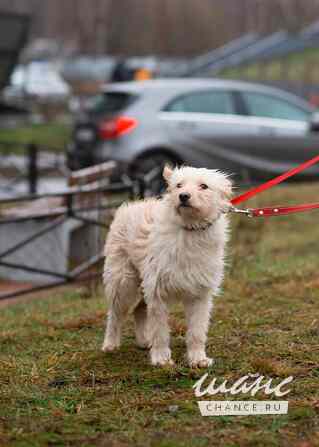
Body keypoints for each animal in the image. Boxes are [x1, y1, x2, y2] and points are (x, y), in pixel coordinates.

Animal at [102, 165, 232, 368]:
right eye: (178, 185)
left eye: (204, 186)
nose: (183, 196)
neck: (190, 230)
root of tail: (132, 205)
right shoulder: (157, 292)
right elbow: (160, 330)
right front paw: (161, 358)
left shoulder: (200, 295)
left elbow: (197, 330)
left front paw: (198, 358)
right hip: (123, 283)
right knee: (115, 314)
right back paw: (110, 343)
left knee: (139, 310)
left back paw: (143, 341)